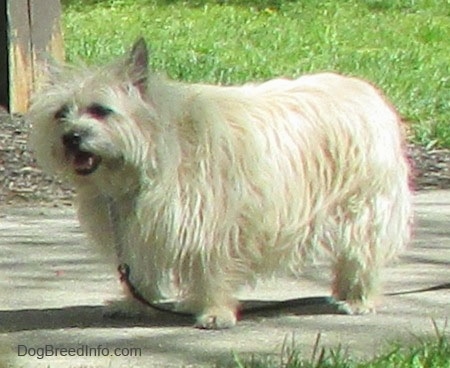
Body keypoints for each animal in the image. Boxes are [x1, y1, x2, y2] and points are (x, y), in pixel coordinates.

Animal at [27, 38, 412, 330]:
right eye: (61, 113)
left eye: (101, 110)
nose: (71, 137)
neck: (154, 152)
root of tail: (364, 91)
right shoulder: (137, 227)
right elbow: (141, 268)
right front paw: (136, 304)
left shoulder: (213, 223)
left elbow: (212, 270)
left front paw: (215, 312)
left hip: (363, 207)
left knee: (361, 253)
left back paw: (358, 298)